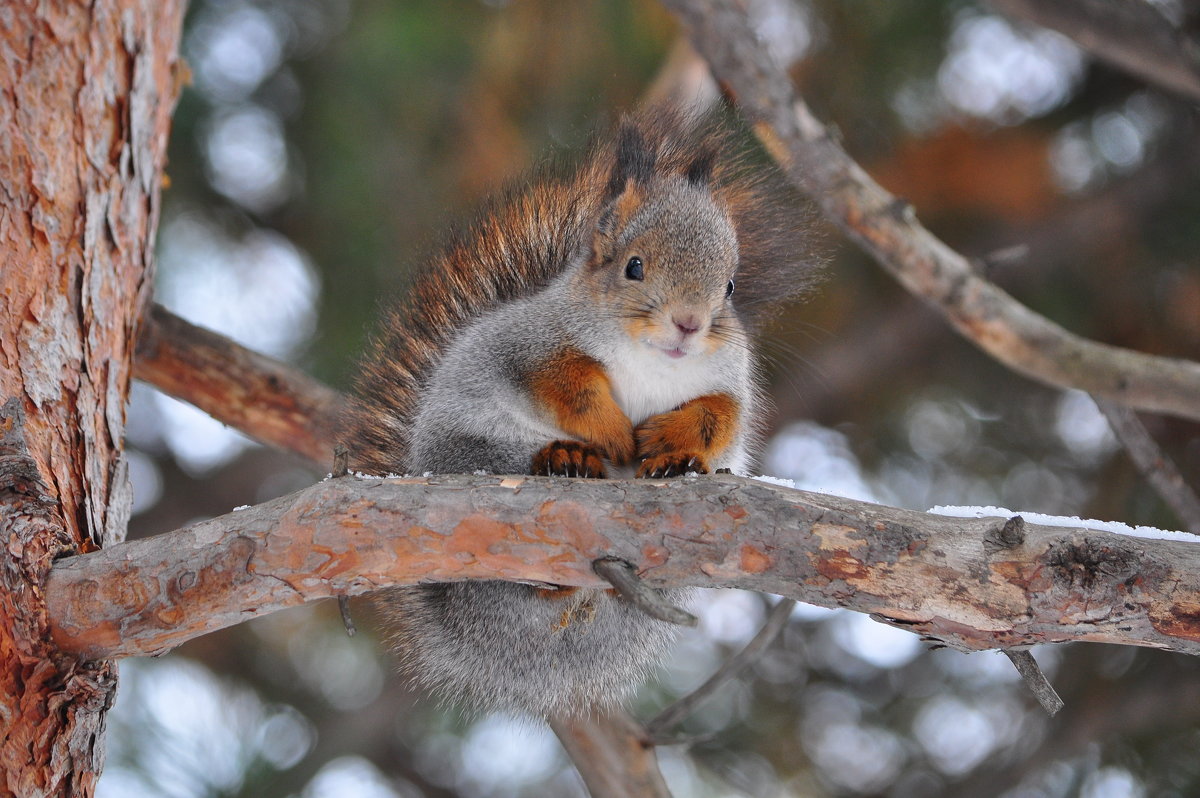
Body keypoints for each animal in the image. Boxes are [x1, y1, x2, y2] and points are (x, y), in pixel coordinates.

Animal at [343, 107, 820, 715]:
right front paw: (613, 434)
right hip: (475, 456)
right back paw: (567, 459)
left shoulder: (727, 382)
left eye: (730, 286)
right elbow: (568, 387)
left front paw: (671, 447)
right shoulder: (535, 347)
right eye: (634, 267)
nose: (689, 324)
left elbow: (717, 418)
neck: (652, 360)